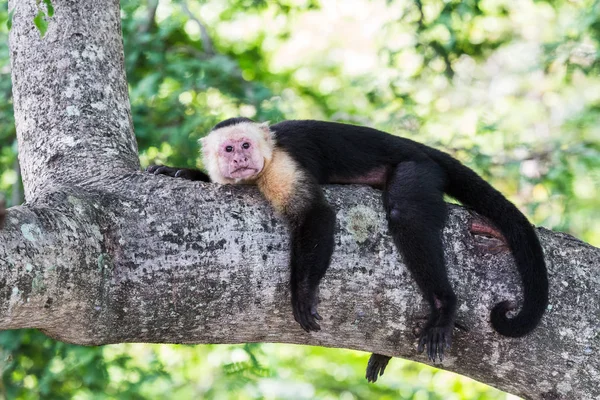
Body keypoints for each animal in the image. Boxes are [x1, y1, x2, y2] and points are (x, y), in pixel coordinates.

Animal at [149, 117, 548, 382]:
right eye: (228, 149)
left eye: (245, 146)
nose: (239, 160)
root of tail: (417, 147)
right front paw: (180, 172)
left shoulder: (280, 166)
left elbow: (316, 215)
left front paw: (302, 293)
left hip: (419, 168)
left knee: (406, 211)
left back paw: (443, 306)